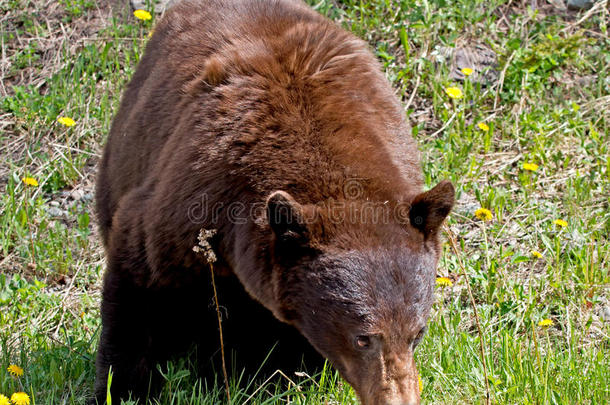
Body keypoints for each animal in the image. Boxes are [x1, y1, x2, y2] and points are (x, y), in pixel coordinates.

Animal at [94, 0, 452, 404]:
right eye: (363, 338)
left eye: (418, 332)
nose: (396, 398)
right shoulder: (191, 202)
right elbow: (138, 284)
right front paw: (120, 389)